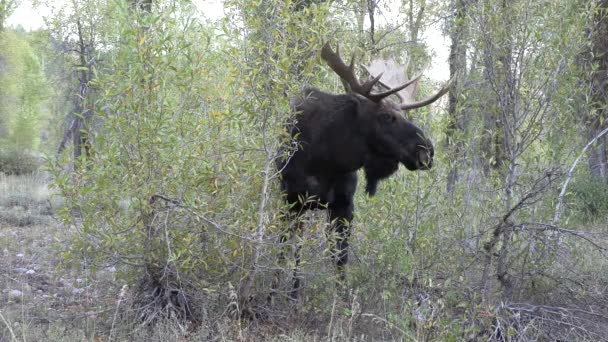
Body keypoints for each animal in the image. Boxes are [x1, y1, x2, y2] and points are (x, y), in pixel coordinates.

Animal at [274, 43, 448, 302]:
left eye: (404, 115)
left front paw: (341, 298)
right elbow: (292, 251)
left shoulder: (344, 204)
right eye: (386, 116)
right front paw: (286, 293)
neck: (328, 158)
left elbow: (340, 257)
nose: (427, 150)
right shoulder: (294, 200)